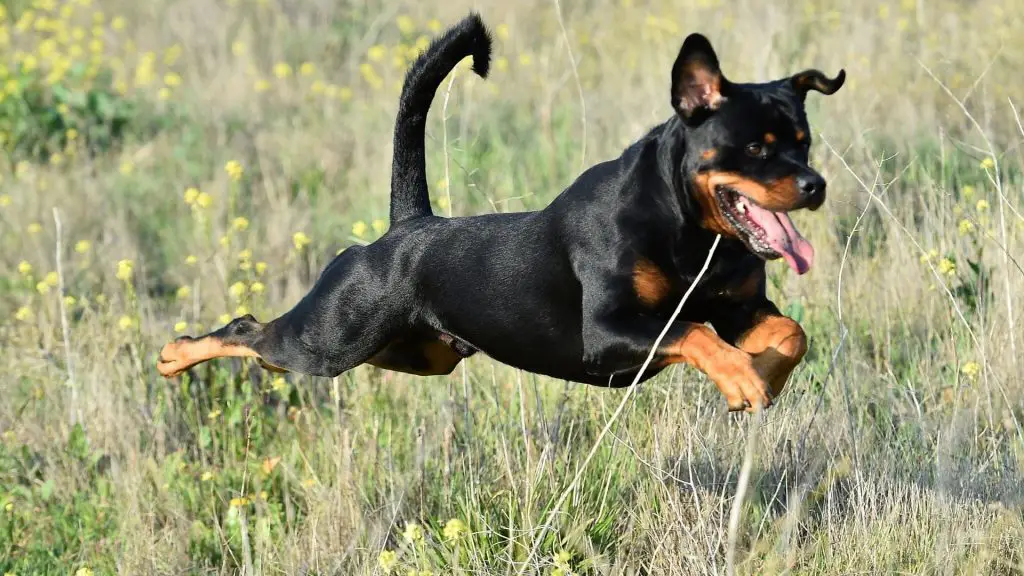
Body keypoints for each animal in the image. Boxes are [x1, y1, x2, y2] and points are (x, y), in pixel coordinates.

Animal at [159, 11, 843, 409]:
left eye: (805, 141)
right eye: (755, 148)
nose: (815, 186)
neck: (691, 231)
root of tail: (406, 227)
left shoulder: (741, 309)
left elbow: (792, 332)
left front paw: (762, 375)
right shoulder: (609, 333)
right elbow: (694, 333)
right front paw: (744, 378)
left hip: (415, 353)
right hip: (331, 337)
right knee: (250, 330)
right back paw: (175, 354)